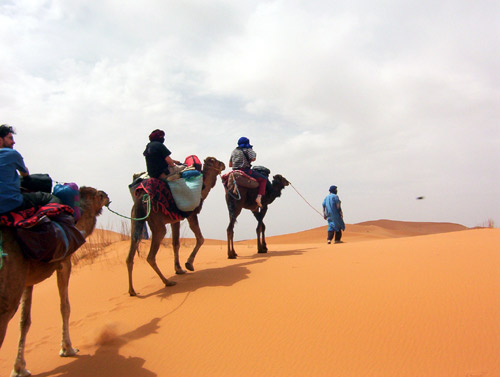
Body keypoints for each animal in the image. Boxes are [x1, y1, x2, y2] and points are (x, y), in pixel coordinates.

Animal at [0, 186, 109, 376]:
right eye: (100, 195)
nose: (108, 197)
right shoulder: (64, 262)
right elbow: (65, 307)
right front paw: (68, 348)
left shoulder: (27, 279)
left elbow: (24, 320)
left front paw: (19, 368)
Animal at [126, 156, 226, 296]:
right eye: (215, 161)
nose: (224, 164)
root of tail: (141, 198)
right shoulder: (191, 214)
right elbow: (200, 239)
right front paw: (189, 264)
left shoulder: (175, 220)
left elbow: (175, 243)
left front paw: (179, 269)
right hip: (157, 224)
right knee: (151, 256)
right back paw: (167, 282)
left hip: (135, 220)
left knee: (131, 253)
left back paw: (132, 291)